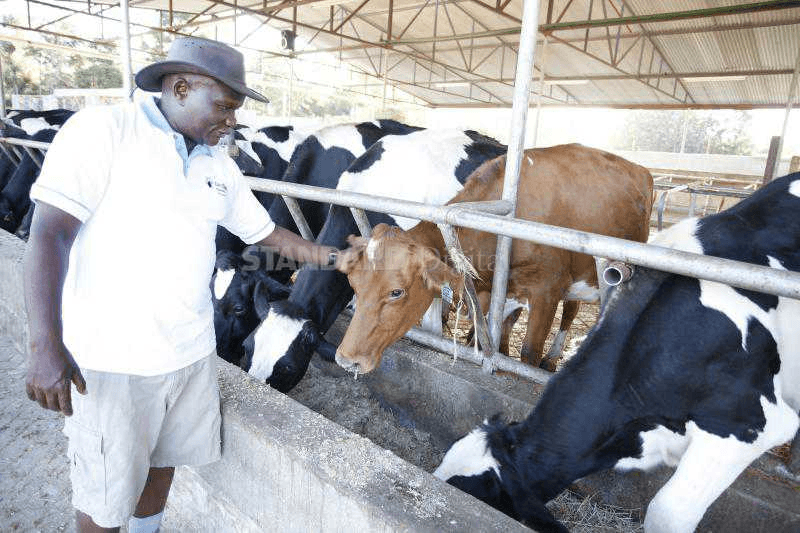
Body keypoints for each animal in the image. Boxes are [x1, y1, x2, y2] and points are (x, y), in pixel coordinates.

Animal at [333, 144, 653, 375]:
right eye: (354, 284)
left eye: (396, 292)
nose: (346, 359)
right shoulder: (494, 291)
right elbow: (493, 338)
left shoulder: (547, 290)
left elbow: (528, 353)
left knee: (572, 311)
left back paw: (553, 359)